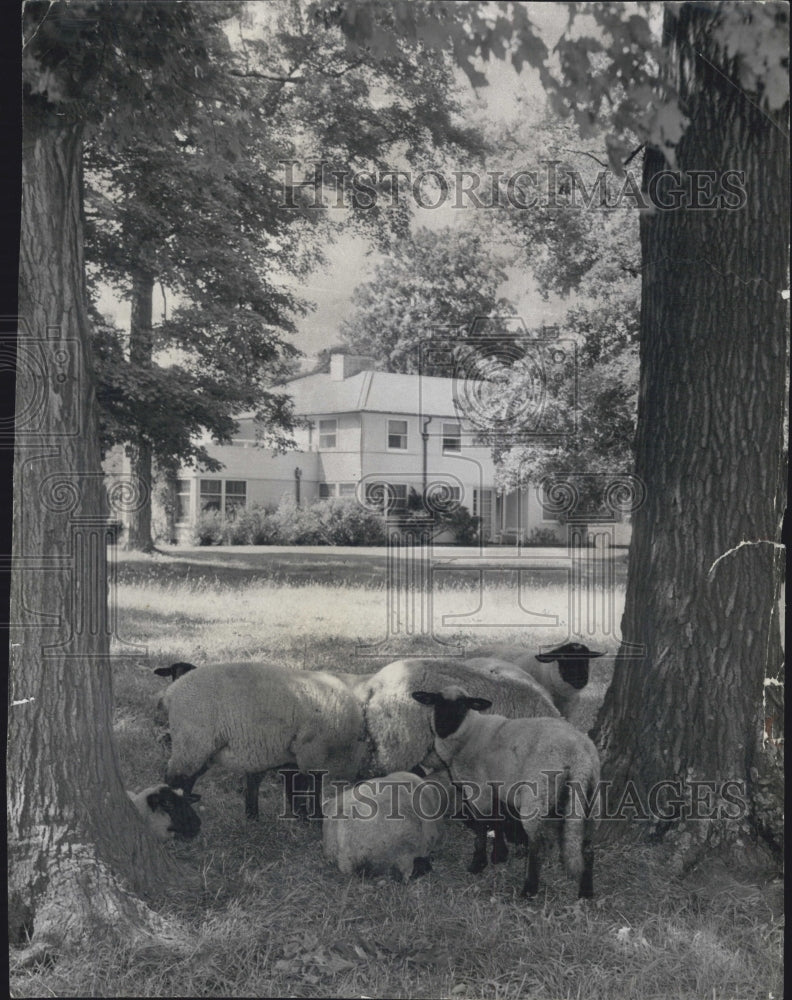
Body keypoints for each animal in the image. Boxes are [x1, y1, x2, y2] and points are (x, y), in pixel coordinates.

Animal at [162, 660, 374, 816]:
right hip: (192, 742)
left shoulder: (294, 756)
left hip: (200, 749)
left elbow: (295, 787)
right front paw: (315, 819)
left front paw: (302, 816)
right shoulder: (312, 752)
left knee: (184, 780)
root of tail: (172, 691)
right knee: (174, 779)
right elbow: (312, 787)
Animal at [408, 688, 600, 900]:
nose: (442, 728)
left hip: (536, 794)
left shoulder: (478, 788)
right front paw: (499, 855)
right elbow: (497, 819)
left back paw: (529, 889)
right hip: (590, 797)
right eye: (436, 702)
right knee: (587, 846)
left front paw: (478, 863)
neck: (468, 734)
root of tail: (578, 753)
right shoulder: (496, 787)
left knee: (538, 844)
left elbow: (481, 827)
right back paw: (586, 891)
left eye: (462, 706)